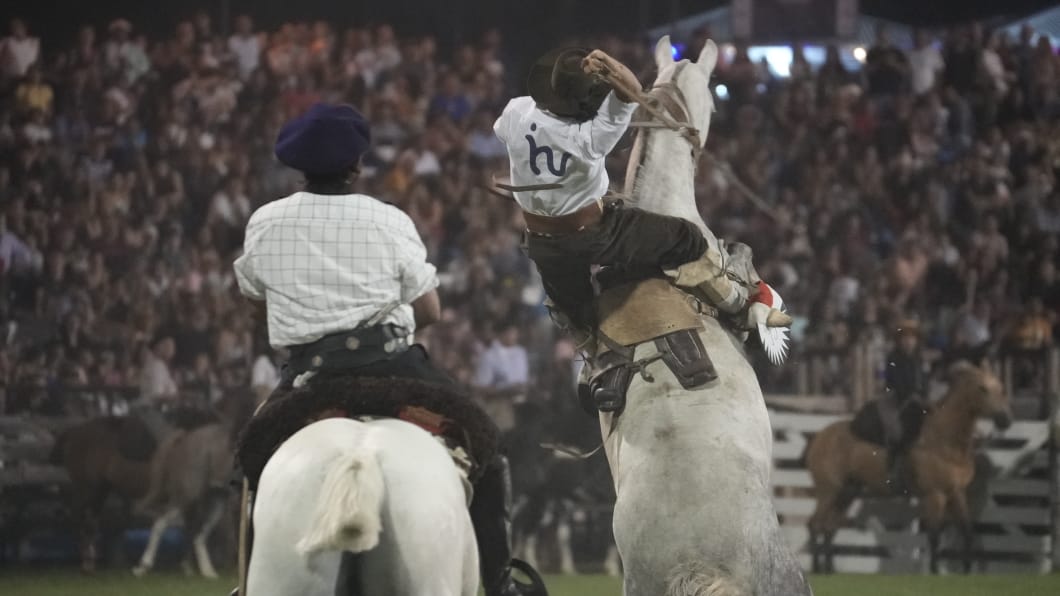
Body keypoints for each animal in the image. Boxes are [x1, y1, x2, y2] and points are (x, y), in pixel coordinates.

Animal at [801, 360, 1009, 572]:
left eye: (1000, 388)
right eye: (982, 388)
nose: (1005, 420)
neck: (943, 439)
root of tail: (819, 437)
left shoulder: (956, 493)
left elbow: (966, 531)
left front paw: (967, 569)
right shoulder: (935, 495)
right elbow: (934, 536)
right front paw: (934, 571)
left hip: (847, 493)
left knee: (828, 528)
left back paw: (829, 569)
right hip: (829, 492)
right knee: (814, 525)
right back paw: (817, 568)